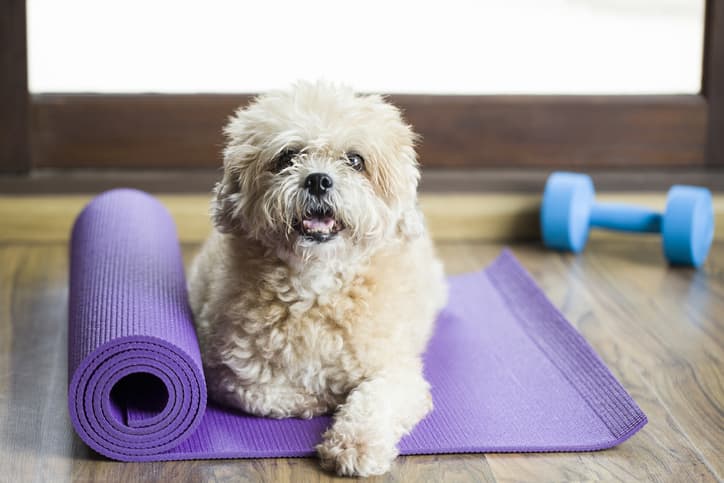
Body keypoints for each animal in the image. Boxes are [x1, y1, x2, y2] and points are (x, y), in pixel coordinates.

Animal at [187, 81, 446, 478]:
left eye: (355, 161)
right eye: (287, 157)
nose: (318, 180)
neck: (316, 285)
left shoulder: (398, 372)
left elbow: (375, 401)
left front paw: (355, 444)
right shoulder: (227, 373)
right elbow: (265, 394)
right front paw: (319, 398)